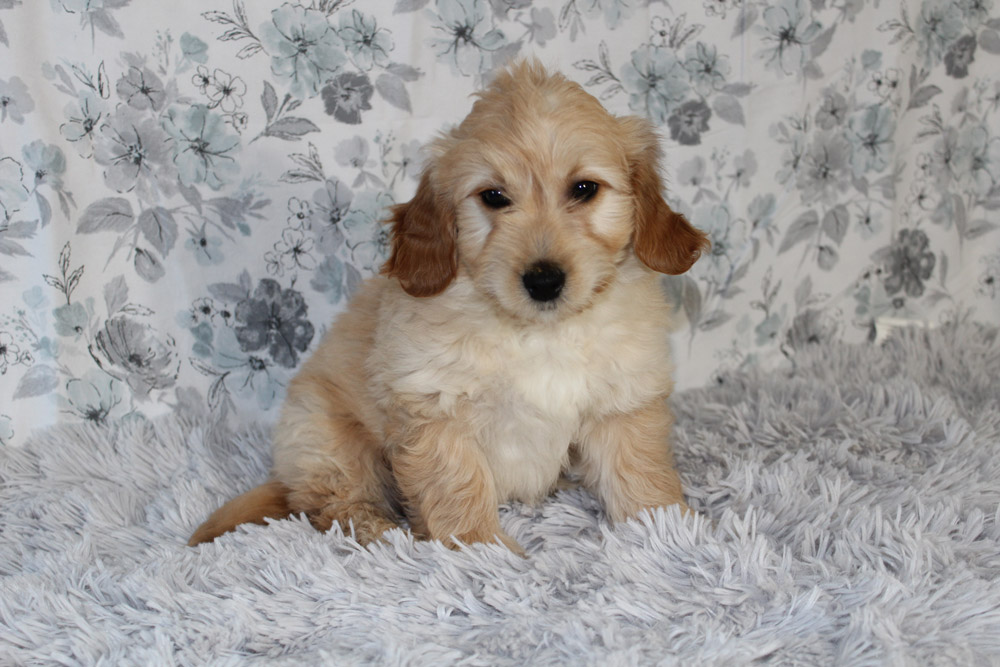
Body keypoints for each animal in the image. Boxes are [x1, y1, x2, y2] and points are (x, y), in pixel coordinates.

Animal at [188, 61, 709, 554]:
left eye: (584, 189)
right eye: (494, 197)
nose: (543, 281)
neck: (537, 333)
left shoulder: (623, 402)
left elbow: (638, 473)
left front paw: (666, 533)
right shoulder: (435, 409)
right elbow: (457, 489)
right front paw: (482, 552)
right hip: (325, 436)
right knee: (330, 503)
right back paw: (381, 532)